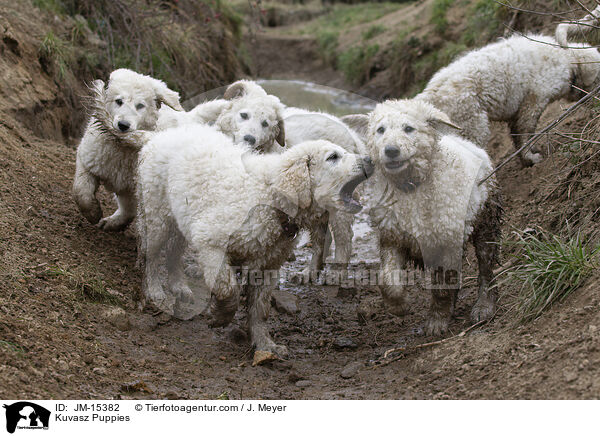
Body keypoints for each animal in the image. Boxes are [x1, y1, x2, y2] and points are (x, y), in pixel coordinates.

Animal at [72, 68, 182, 232]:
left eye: (140, 105)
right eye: (119, 101)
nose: (123, 125)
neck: (122, 147)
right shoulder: (89, 158)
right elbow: (80, 190)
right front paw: (93, 213)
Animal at [137, 124, 372, 356]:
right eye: (333, 157)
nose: (370, 160)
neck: (271, 198)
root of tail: (161, 134)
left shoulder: (268, 264)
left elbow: (260, 309)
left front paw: (265, 344)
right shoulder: (211, 242)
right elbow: (229, 288)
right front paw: (221, 316)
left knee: (174, 251)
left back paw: (179, 287)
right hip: (156, 214)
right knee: (151, 255)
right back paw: (155, 291)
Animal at [342, 99, 502, 338]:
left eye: (409, 128)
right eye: (380, 130)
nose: (391, 150)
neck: (412, 186)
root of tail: (469, 144)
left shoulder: (446, 240)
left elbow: (442, 288)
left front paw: (437, 321)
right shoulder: (393, 236)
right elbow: (387, 280)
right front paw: (398, 306)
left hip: (485, 218)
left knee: (486, 267)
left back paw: (484, 305)